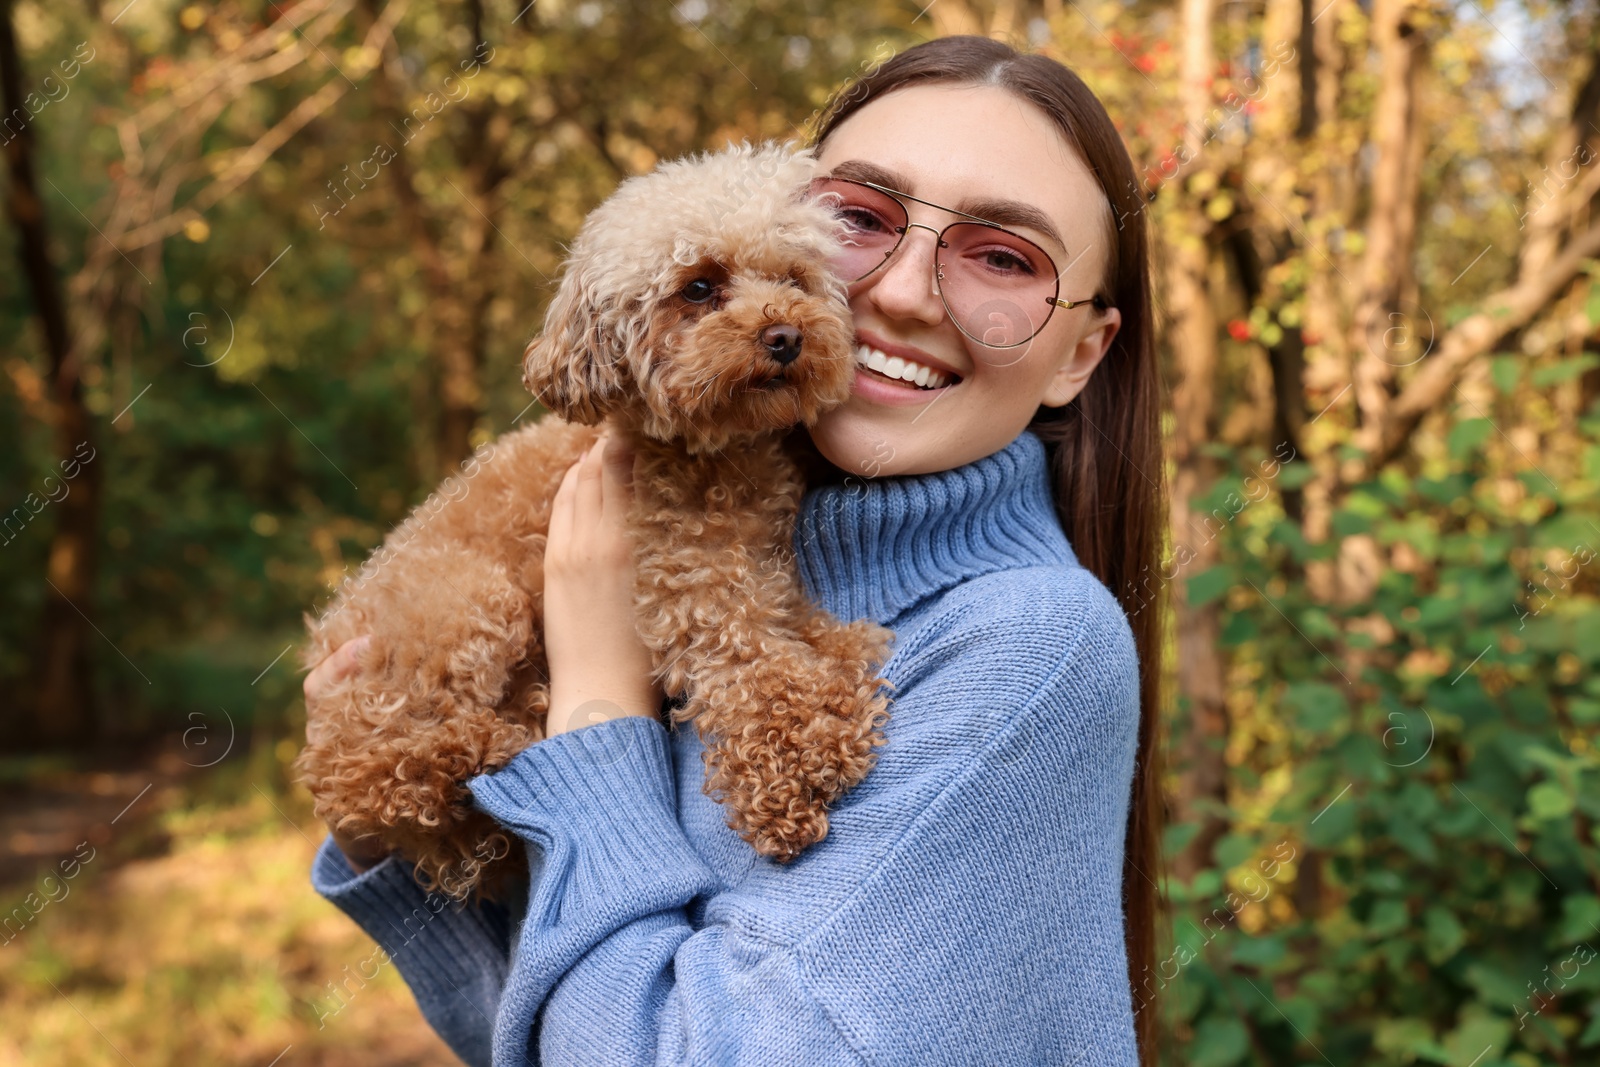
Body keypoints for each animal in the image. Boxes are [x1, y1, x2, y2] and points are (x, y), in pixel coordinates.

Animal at [300, 141, 902, 902]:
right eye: (698, 288)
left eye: (794, 278)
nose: (787, 334)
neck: (722, 453)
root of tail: (326, 641)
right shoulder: (691, 583)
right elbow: (748, 664)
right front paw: (797, 763)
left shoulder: (758, 564)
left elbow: (799, 626)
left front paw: (844, 657)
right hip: (463, 608)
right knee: (372, 770)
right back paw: (501, 746)